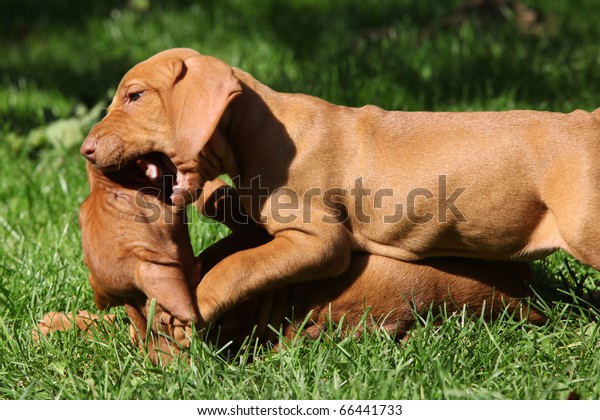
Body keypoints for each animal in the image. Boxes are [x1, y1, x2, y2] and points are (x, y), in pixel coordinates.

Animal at [79, 47, 600, 324]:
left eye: (135, 96)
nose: (85, 149)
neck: (261, 130)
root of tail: (588, 121)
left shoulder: (319, 242)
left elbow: (239, 266)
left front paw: (193, 305)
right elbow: (231, 223)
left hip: (586, 232)